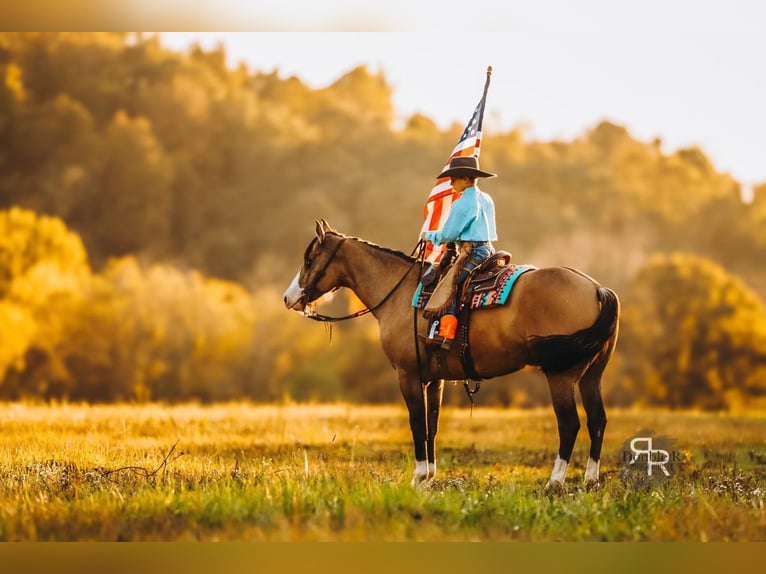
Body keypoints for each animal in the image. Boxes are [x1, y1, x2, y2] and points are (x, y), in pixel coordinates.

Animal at [283, 220, 619, 489]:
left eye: (310, 259)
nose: (289, 298)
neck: (401, 294)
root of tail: (597, 289)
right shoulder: (435, 379)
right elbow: (432, 426)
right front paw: (430, 476)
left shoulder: (408, 375)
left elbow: (417, 423)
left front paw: (418, 477)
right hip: (592, 376)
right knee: (597, 420)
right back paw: (590, 480)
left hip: (561, 376)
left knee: (570, 424)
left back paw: (555, 482)